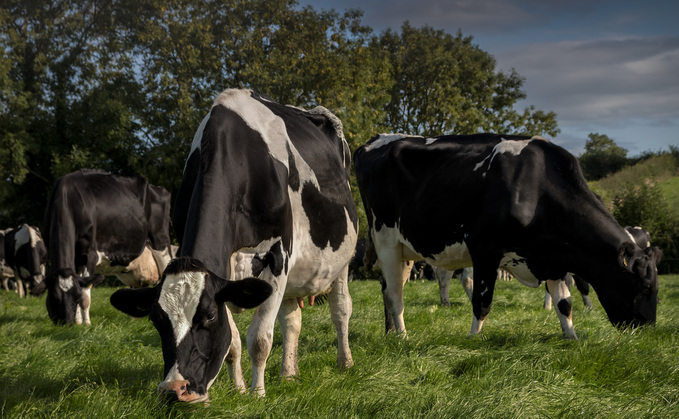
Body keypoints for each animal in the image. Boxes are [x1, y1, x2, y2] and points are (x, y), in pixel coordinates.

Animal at [35, 169, 174, 326]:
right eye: (54, 297)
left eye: (76, 296)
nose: (67, 323)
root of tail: (158, 188)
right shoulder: (75, 259)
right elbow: (80, 284)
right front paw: (78, 322)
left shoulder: (90, 255)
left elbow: (85, 295)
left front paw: (86, 324)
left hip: (160, 241)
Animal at [110, 88, 362, 400]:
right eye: (156, 320)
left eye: (207, 316)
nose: (175, 389)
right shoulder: (224, 273)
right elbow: (233, 342)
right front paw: (239, 389)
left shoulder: (278, 256)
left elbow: (260, 339)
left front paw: (258, 394)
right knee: (292, 320)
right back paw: (289, 374)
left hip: (342, 260)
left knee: (341, 310)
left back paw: (345, 362)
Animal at [356, 135, 664, 342]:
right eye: (645, 286)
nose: (648, 330)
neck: (538, 190)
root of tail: (373, 141)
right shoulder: (484, 249)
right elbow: (482, 302)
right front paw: (472, 340)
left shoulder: (553, 259)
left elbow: (565, 304)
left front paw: (572, 338)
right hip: (385, 240)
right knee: (395, 293)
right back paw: (403, 336)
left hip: (406, 249)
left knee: (389, 287)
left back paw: (390, 333)